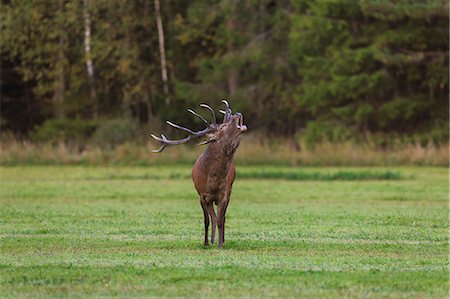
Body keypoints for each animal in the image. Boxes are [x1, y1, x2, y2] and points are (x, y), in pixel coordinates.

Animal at [153, 100, 248, 248]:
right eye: (224, 126)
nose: (237, 113)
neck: (212, 181)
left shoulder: (224, 195)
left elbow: (221, 219)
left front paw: (220, 244)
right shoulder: (202, 196)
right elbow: (207, 220)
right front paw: (206, 243)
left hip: (229, 191)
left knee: (221, 217)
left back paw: (220, 240)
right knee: (213, 217)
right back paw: (212, 240)